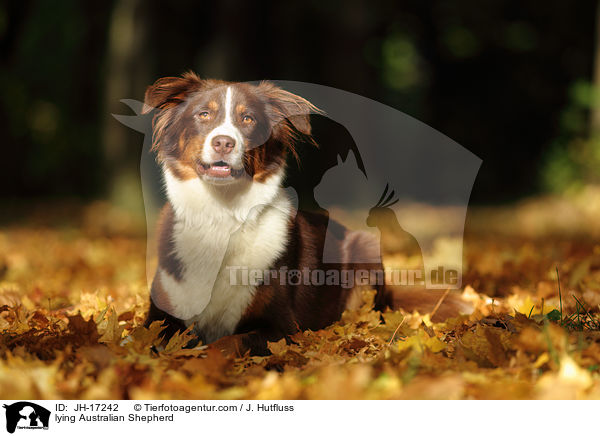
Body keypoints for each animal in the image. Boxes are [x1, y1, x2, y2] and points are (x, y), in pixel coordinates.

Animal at [142, 71, 468, 356]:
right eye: (203, 115)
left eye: (248, 119)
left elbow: (225, 343)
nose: (224, 142)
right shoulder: (160, 314)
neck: (222, 213)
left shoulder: (280, 327)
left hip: (365, 250)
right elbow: (152, 338)